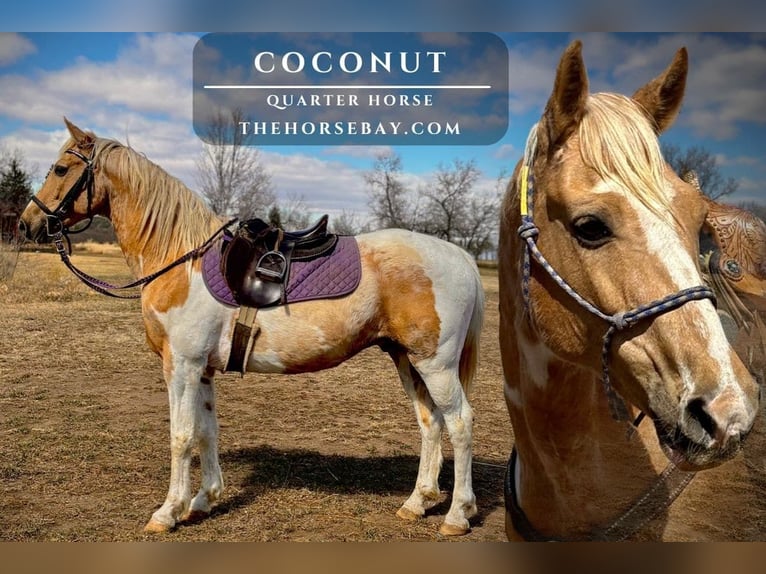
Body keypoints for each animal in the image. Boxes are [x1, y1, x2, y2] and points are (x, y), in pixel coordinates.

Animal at [18, 119, 484, 536]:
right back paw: (418, 502)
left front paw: (168, 512)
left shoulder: (181, 366)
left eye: (60, 169)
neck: (180, 258)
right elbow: (207, 433)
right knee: (430, 422)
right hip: (407, 359)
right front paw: (203, 500)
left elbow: (181, 436)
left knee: (459, 422)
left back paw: (457, 515)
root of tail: (461, 256)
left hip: (435, 364)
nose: (27, 224)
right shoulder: (203, 370)